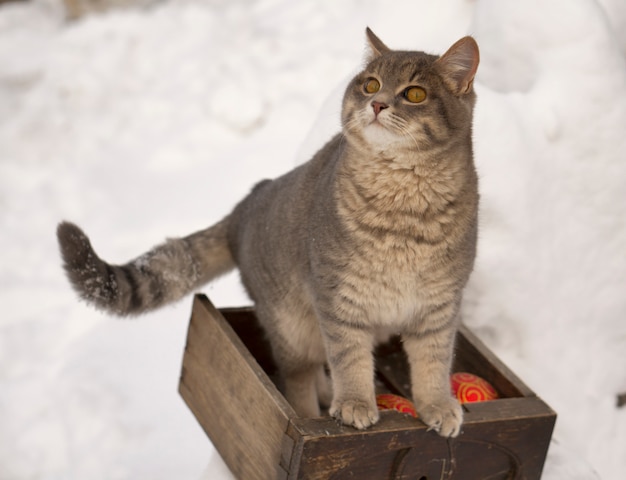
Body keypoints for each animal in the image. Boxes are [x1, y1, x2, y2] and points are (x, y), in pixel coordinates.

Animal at [57, 27, 478, 438]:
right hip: (294, 329)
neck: (404, 204)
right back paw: (315, 409)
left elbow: (433, 363)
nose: (377, 105)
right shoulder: (339, 301)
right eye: (370, 85)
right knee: (300, 382)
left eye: (415, 94)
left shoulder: (439, 307)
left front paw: (437, 406)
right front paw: (355, 402)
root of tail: (244, 206)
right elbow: (349, 359)